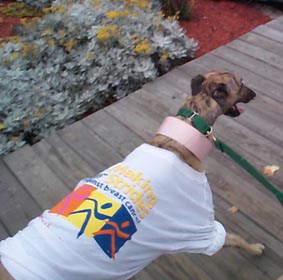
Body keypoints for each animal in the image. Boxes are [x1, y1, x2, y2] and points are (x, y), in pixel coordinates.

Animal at [0, 71, 266, 278]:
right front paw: (256, 248)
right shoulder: (198, 228)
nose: (254, 93)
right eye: (241, 83)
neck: (182, 135)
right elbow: (235, 239)